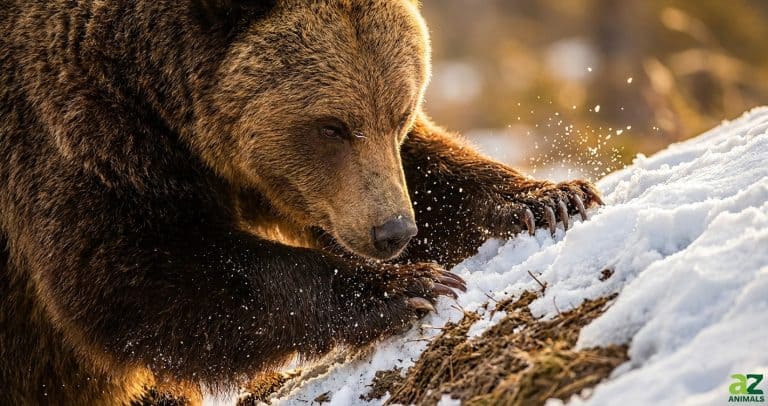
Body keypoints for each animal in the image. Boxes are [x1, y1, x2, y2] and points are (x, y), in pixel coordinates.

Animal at [0, 0, 602, 404]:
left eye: (400, 111)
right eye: (331, 125)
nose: (393, 232)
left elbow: (433, 174)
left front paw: (549, 197)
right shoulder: (74, 131)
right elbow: (130, 272)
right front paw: (406, 287)